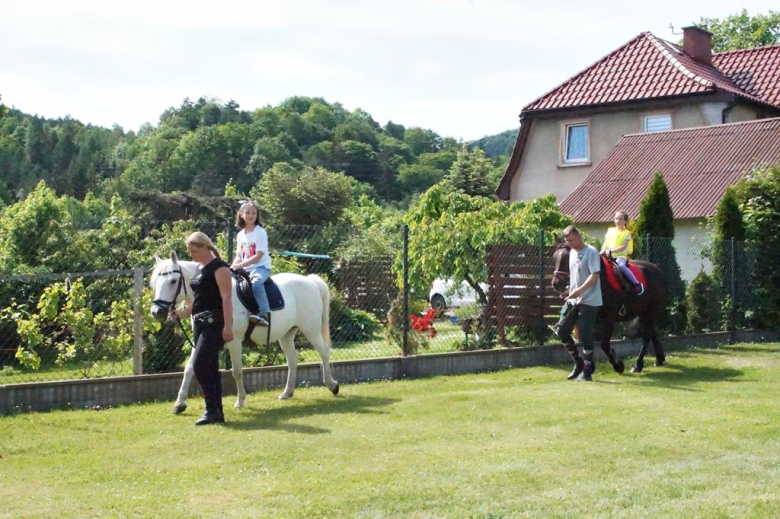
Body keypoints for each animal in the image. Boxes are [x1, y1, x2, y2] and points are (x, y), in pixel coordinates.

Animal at [149, 252, 338, 414]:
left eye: (173, 281)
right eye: (155, 282)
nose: (157, 312)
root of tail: (310, 281)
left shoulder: (234, 342)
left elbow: (237, 371)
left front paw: (240, 401)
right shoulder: (200, 341)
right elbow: (189, 369)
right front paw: (179, 403)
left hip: (311, 330)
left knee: (324, 352)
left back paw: (332, 385)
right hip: (287, 335)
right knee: (293, 361)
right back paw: (287, 393)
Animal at [552, 244, 668, 374]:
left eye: (566, 259)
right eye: (554, 258)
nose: (556, 283)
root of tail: (657, 268)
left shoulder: (608, 317)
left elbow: (604, 344)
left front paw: (618, 365)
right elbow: (587, 340)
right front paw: (590, 366)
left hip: (649, 312)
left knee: (647, 337)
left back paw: (638, 365)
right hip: (645, 313)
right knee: (653, 332)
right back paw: (659, 359)